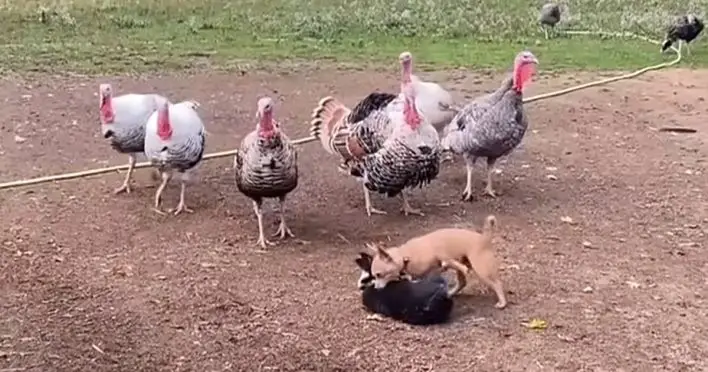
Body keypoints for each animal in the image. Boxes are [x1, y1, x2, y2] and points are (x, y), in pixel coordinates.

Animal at [368, 215, 506, 308]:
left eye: (379, 275)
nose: (376, 288)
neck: (405, 255)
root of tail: (484, 238)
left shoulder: (439, 256)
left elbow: (446, 261)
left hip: (482, 270)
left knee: (497, 283)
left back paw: (502, 302)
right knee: (462, 282)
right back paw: (450, 292)